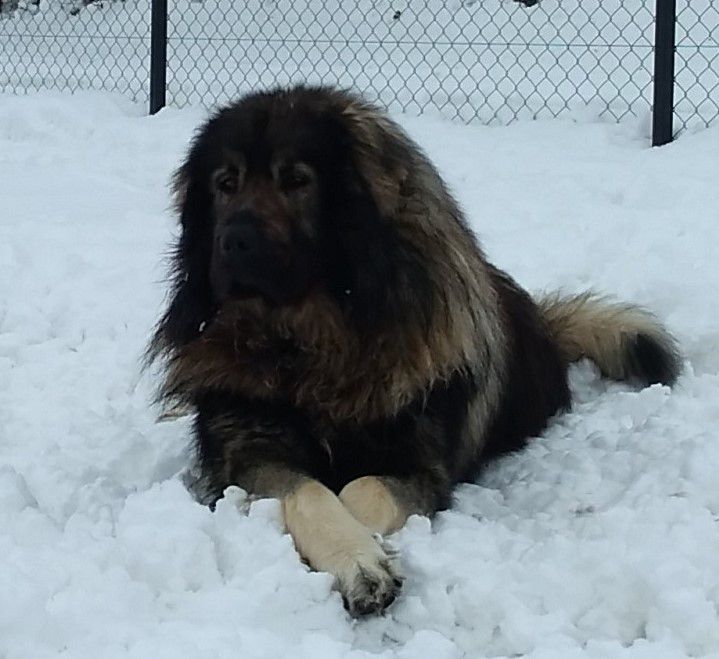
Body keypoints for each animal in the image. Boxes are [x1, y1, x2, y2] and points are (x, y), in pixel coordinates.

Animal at [148, 84, 680, 620]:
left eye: (297, 180)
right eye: (225, 183)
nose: (232, 241)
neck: (310, 345)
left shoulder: (419, 464)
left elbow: (359, 488)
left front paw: (368, 555)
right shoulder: (250, 455)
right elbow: (311, 494)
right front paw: (360, 561)